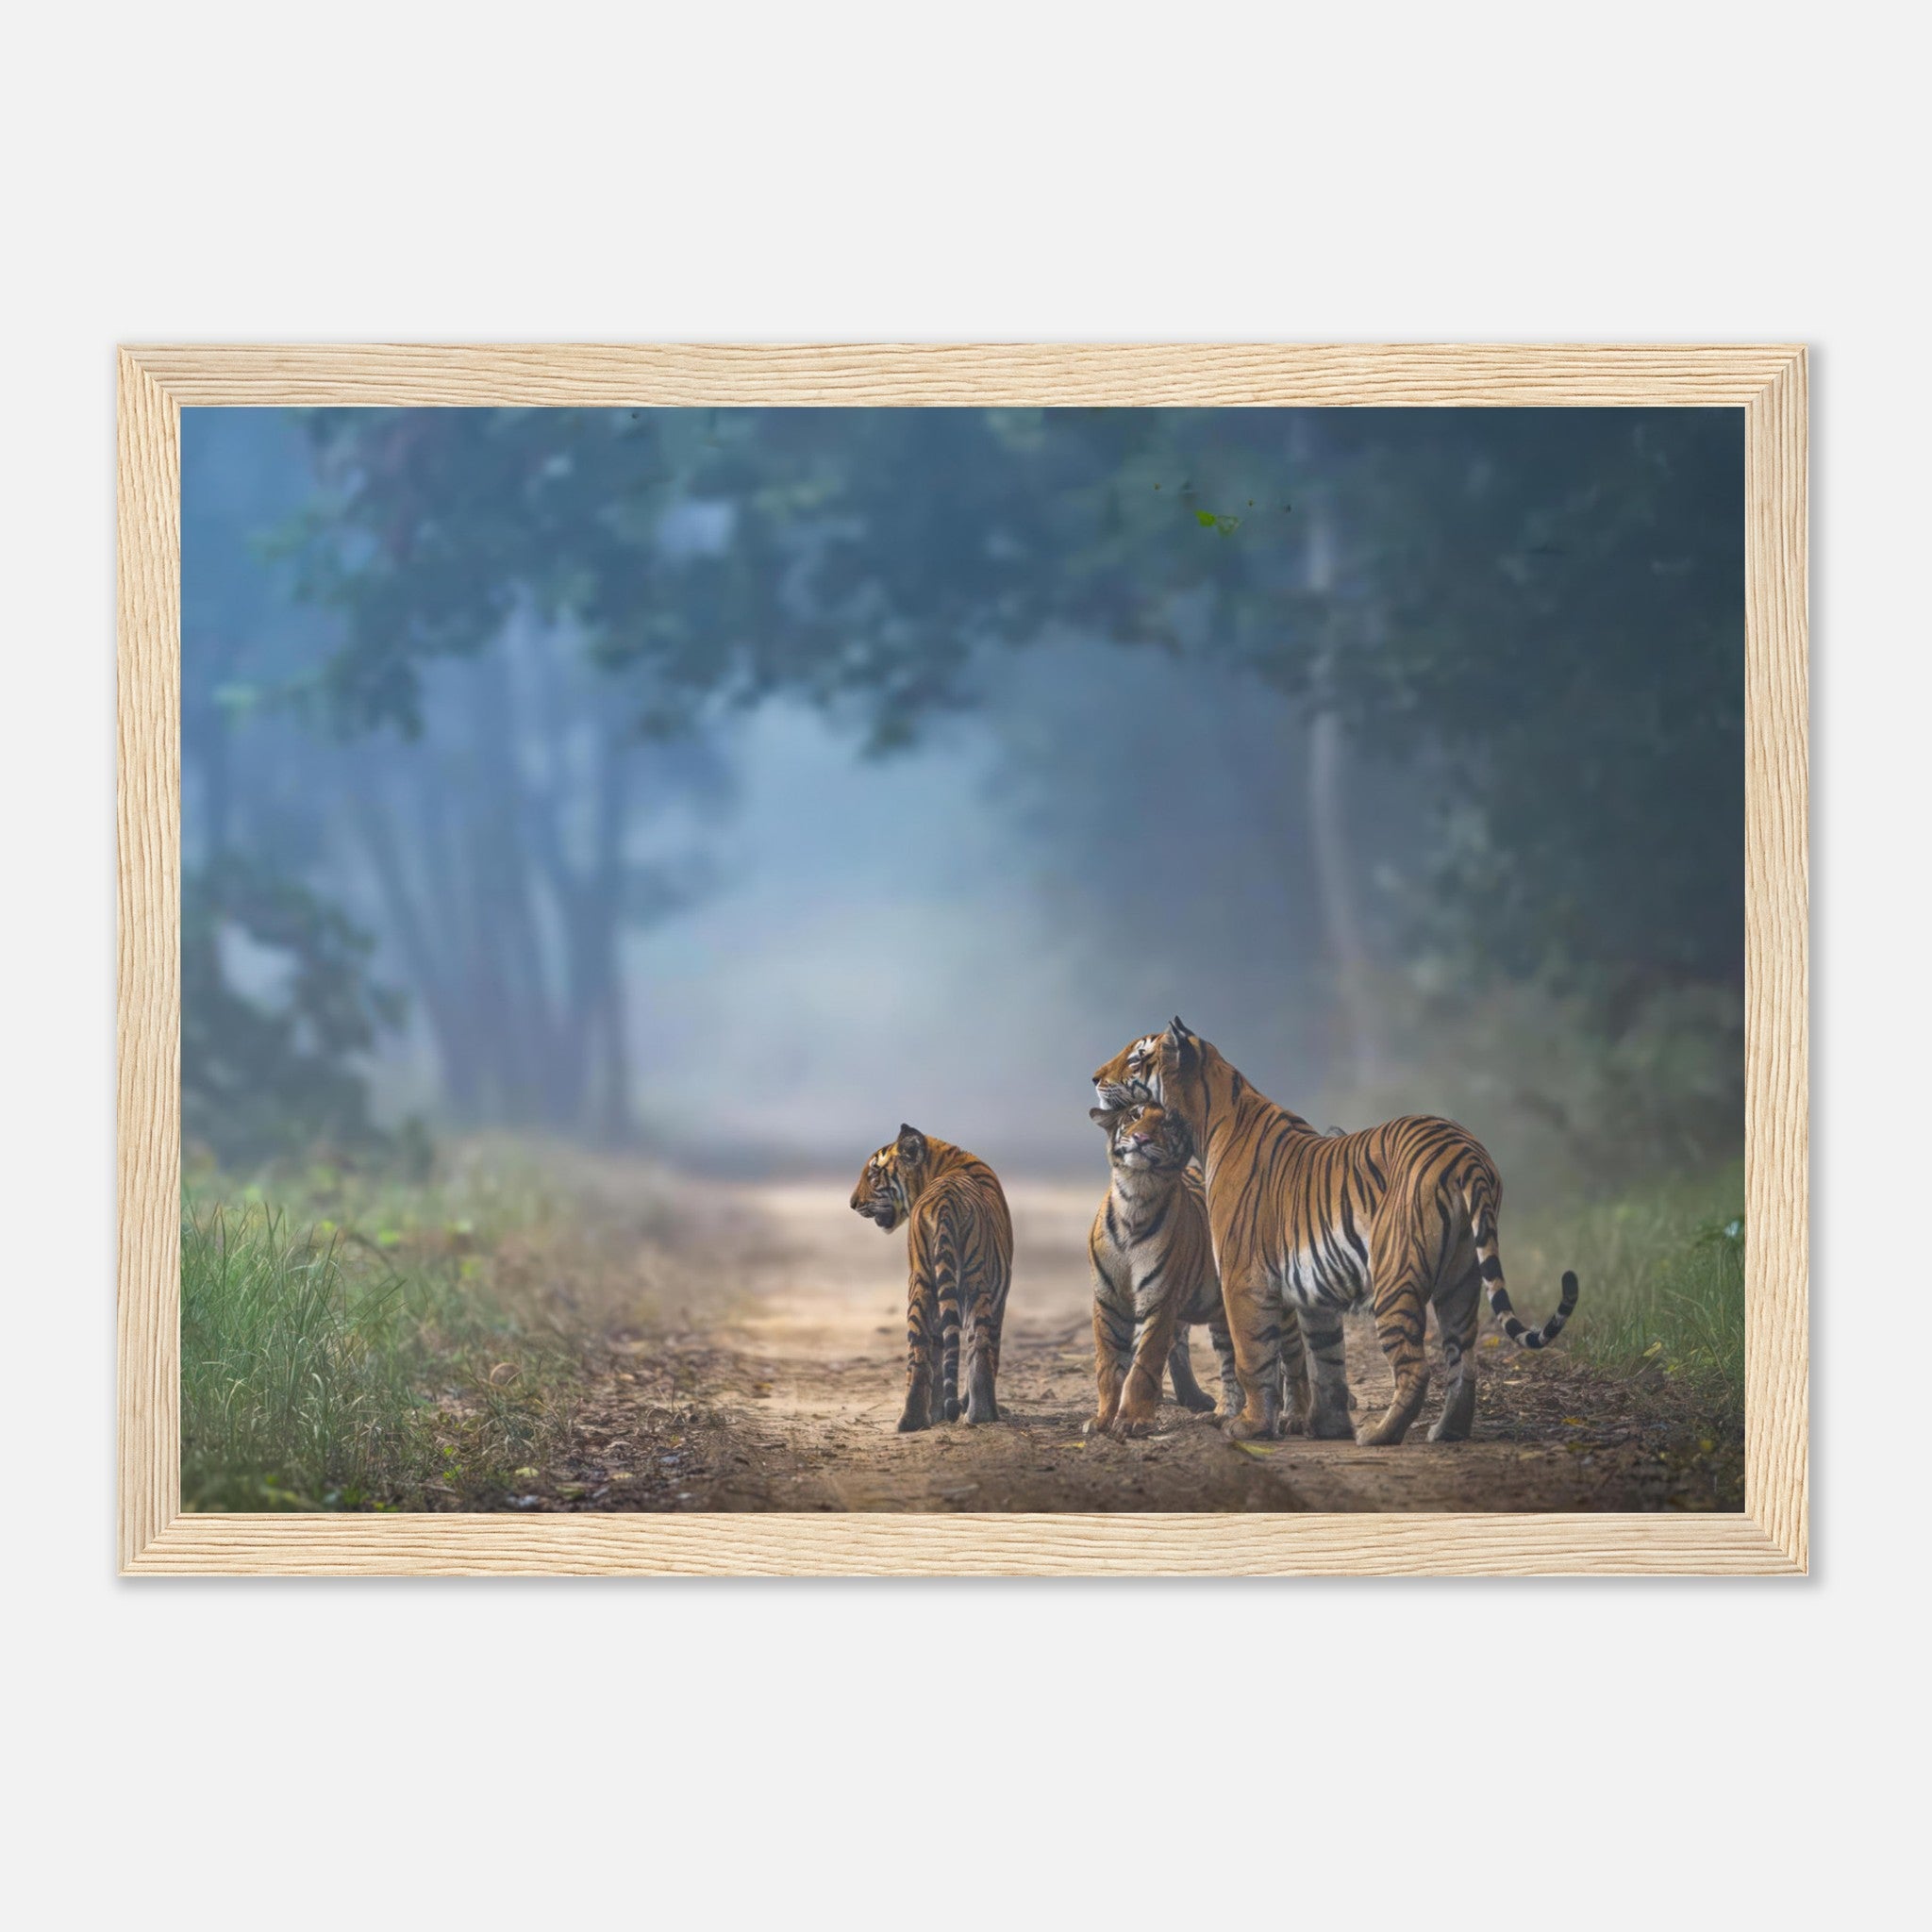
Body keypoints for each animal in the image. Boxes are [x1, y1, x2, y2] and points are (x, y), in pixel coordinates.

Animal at [850, 1124, 1014, 1432]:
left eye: (873, 1175)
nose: (853, 1204)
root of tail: (945, 1201)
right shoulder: (1000, 1296)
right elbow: (990, 1352)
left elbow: (940, 1353)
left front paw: (939, 1412)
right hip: (972, 1281)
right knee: (977, 1347)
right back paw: (982, 1414)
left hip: (923, 1282)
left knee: (921, 1351)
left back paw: (912, 1421)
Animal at [1086, 1101, 1310, 1437]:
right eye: (1134, 1116)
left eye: (1167, 1124)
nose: (1141, 1138)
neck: (1135, 1199)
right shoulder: (1107, 1302)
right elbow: (1109, 1367)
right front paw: (1102, 1419)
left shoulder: (1160, 1303)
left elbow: (1143, 1365)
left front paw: (1132, 1420)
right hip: (1223, 1315)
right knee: (1230, 1364)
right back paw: (1222, 1414)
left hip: (1279, 1307)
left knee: (1294, 1357)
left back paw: (1294, 1416)